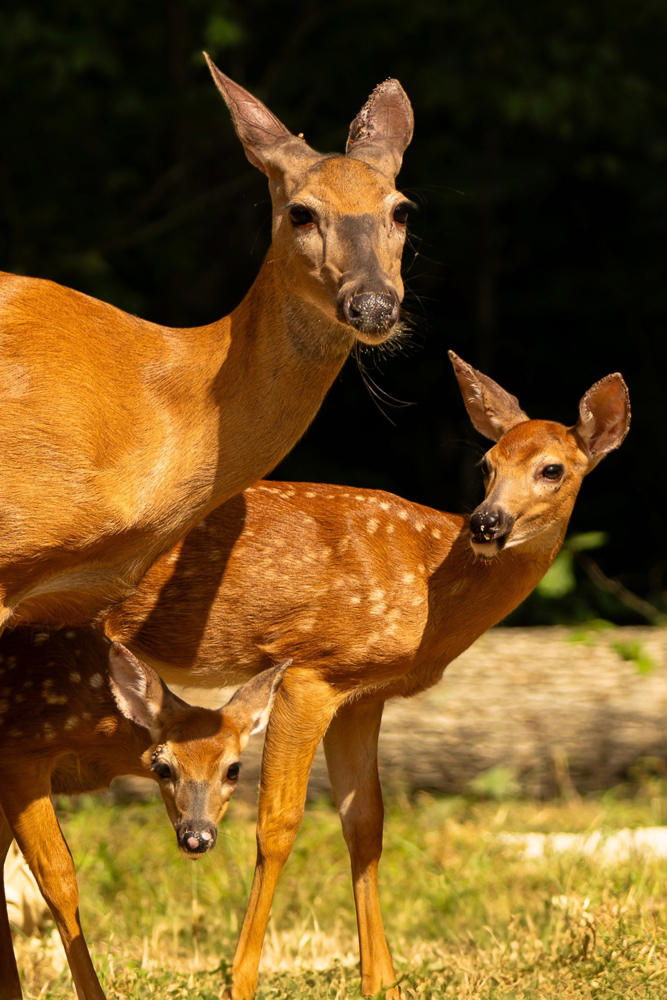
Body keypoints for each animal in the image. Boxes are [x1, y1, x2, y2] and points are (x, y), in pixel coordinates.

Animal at [103, 351, 631, 998]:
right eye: (486, 464)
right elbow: (279, 823)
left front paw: (382, 983)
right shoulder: (311, 668)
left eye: (552, 469)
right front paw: (240, 982)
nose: (486, 522)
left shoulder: (361, 693)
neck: (430, 589)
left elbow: (365, 822)